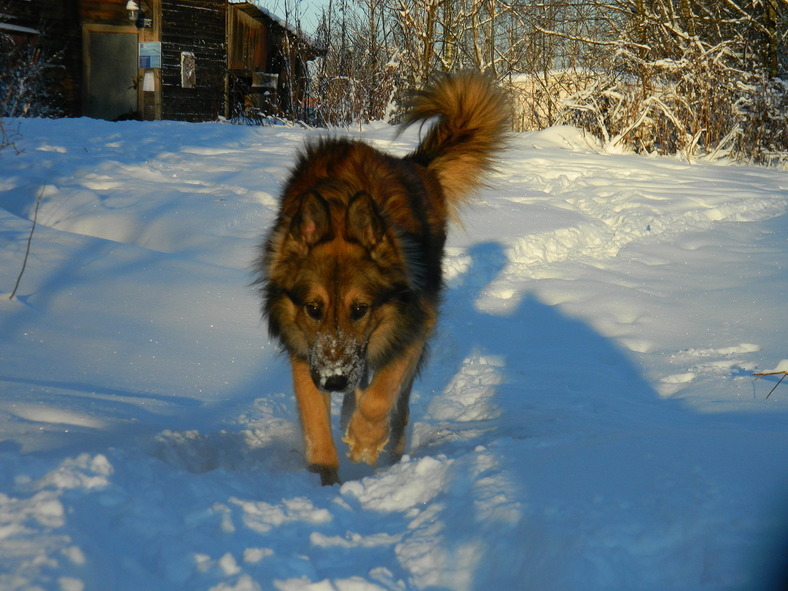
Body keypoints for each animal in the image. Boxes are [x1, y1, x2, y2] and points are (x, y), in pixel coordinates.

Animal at [255, 70, 508, 486]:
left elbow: (381, 394)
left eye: (360, 309)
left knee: (398, 407)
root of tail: (416, 166)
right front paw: (325, 480)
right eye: (313, 308)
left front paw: (364, 439)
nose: (334, 381)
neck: (340, 208)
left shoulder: (410, 323)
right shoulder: (305, 351)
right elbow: (315, 422)